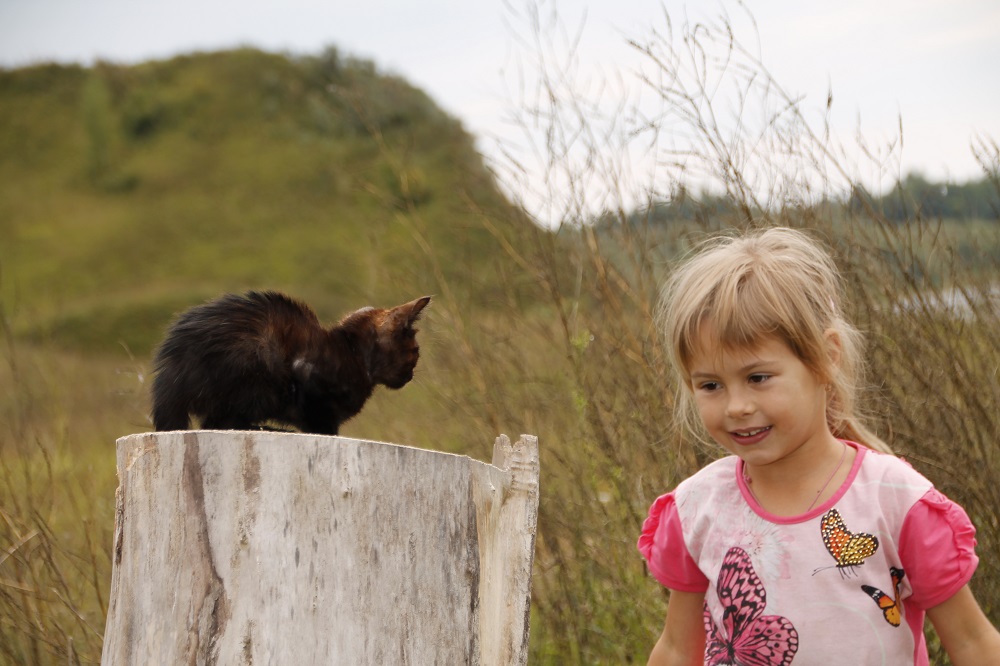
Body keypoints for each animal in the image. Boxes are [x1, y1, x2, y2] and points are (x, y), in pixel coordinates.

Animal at [152, 290, 430, 434]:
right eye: (416, 351)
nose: (411, 375)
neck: (353, 352)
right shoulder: (313, 392)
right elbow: (322, 425)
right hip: (255, 372)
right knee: (222, 423)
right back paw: (269, 428)